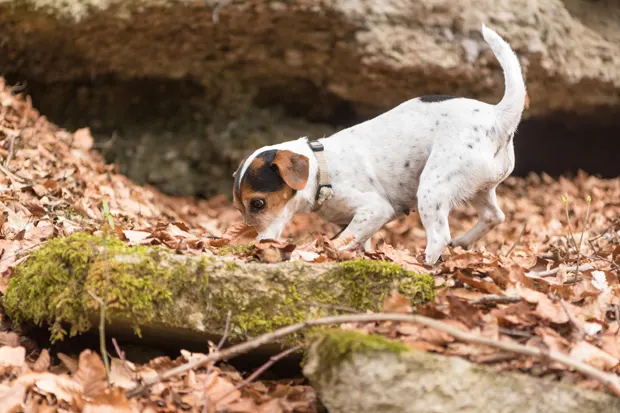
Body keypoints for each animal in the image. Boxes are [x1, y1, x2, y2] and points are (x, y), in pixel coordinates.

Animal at [232, 24, 528, 266]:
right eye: (239, 208)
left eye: (257, 203)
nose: (257, 244)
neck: (321, 169)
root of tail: (498, 116)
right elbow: (360, 242)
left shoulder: (374, 210)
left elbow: (343, 239)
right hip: (478, 188)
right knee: (494, 216)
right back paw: (464, 241)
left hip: (433, 188)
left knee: (440, 236)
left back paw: (424, 265)